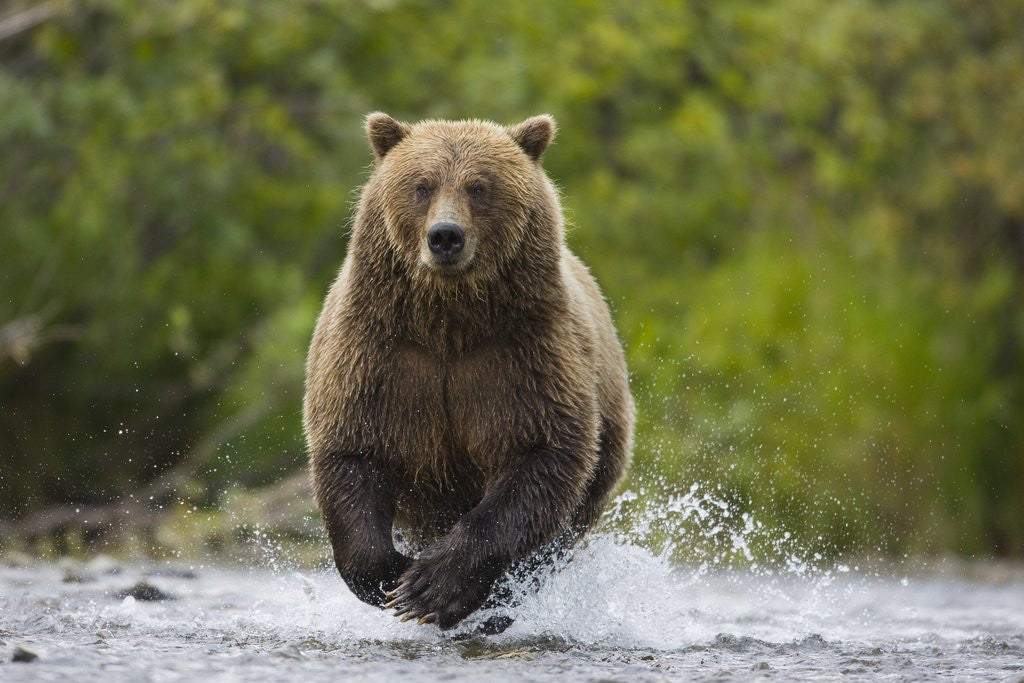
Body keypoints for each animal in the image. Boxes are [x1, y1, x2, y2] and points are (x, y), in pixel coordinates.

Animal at [303, 112, 634, 630]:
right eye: (422, 185)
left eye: (479, 187)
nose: (445, 236)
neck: (450, 322)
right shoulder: (376, 356)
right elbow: (351, 451)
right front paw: (391, 575)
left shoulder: (526, 359)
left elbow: (541, 456)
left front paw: (433, 587)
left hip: (607, 441)